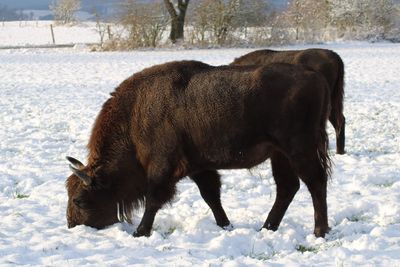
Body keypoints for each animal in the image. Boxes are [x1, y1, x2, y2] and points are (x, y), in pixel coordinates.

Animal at [67, 60, 332, 239]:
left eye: (79, 199)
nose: (71, 225)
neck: (134, 115)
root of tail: (316, 77)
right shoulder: (198, 167)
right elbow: (211, 196)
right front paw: (225, 225)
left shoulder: (162, 167)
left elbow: (154, 199)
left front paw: (141, 232)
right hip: (280, 155)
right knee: (288, 187)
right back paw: (267, 227)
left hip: (299, 150)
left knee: (315, 182)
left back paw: (319, 231)